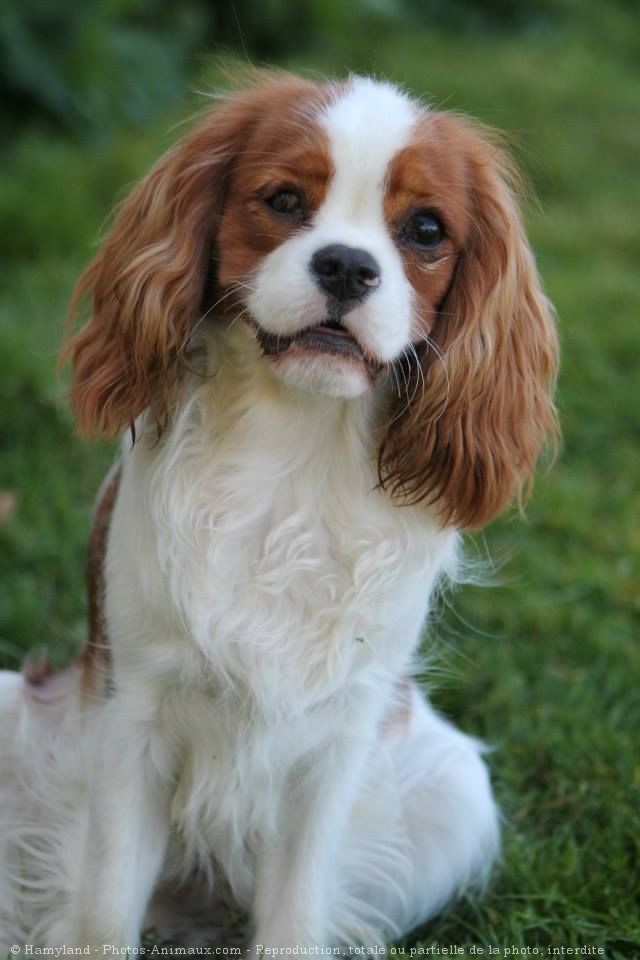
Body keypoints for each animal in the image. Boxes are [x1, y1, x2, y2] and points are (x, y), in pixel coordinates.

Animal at [0, 71, 556, 948]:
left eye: (426, 229)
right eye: (285, 200)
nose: (348, 267)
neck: (295, 442)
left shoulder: (338, 743)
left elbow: (295, 911)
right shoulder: (132, 719)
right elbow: (105, 911)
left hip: (458, 788)